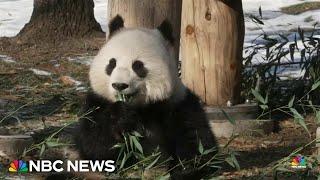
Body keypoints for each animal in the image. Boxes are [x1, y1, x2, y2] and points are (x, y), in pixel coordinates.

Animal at [76, 15, 219, 179]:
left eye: (138, 65)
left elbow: (198, 141)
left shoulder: (177, 103)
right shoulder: (98, 103)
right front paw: (121, 116)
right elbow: (95, 145)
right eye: (111, 63)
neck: (140, 107)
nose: (119, 85)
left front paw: (185, 168)